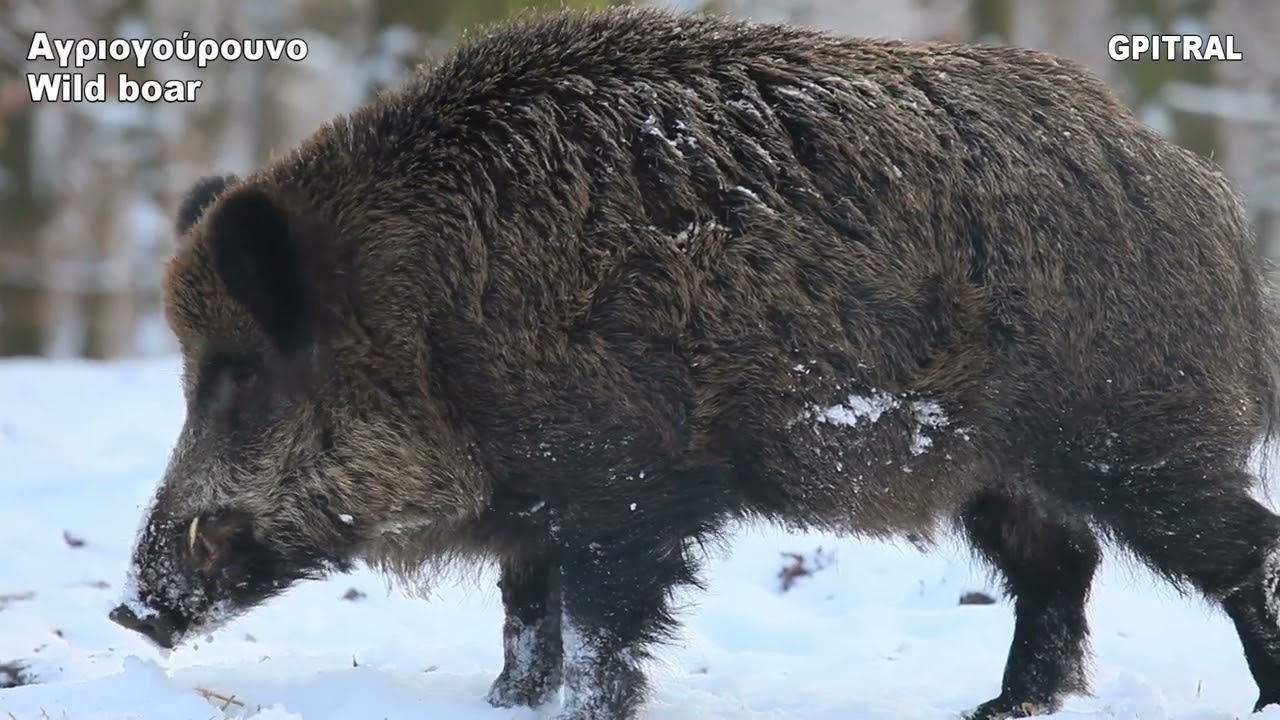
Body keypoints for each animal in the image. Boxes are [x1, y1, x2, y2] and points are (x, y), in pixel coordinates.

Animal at [109, 6, 1280, 720]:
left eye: (239, 373)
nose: (130, 606)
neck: (425, 313)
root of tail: (1204, 199)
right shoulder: (535, 501)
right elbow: (523, 616)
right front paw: (502, 706)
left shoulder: (625, 484)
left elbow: (596, 628)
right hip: (992, 470)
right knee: (1060, 566)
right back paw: (997, 708)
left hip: (1132, 432)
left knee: (1237, 544)